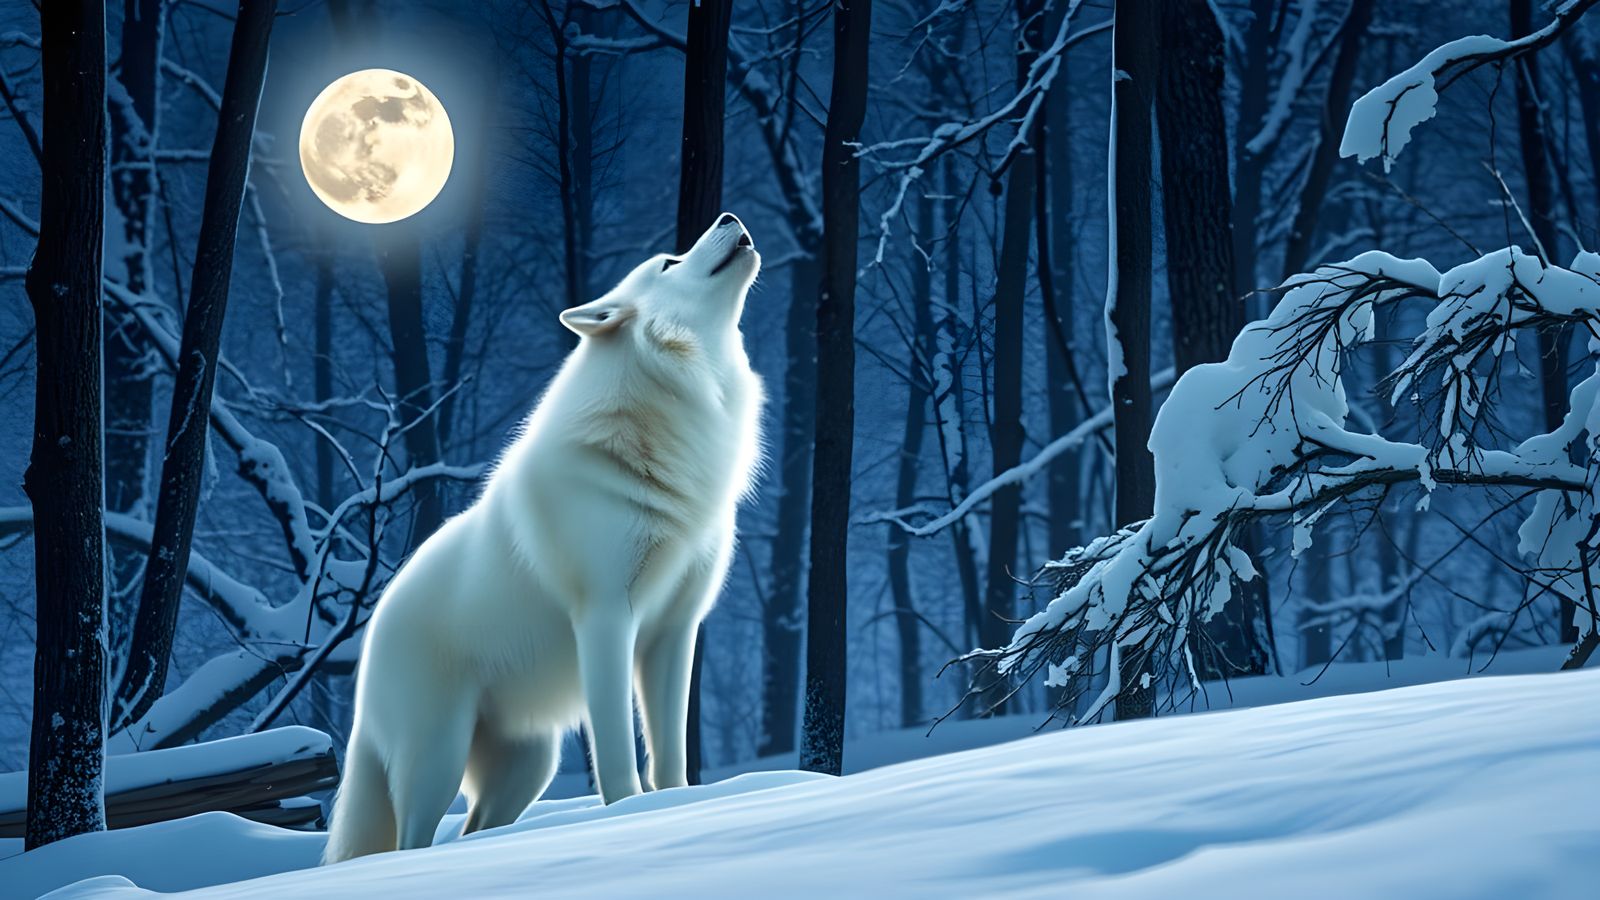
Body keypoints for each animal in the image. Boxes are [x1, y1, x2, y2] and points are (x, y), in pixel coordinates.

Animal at [323, 214, 764, 864]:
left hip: (530, 766)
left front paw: (677, 806)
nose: (728, 218)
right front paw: (629, 814)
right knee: (410, 841)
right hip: (436, 760)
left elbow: (669, 755)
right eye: (668, 262)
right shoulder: (605, 618)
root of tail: (376, 624)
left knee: (472, 827)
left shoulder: (675, 630)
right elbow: (616, 750)